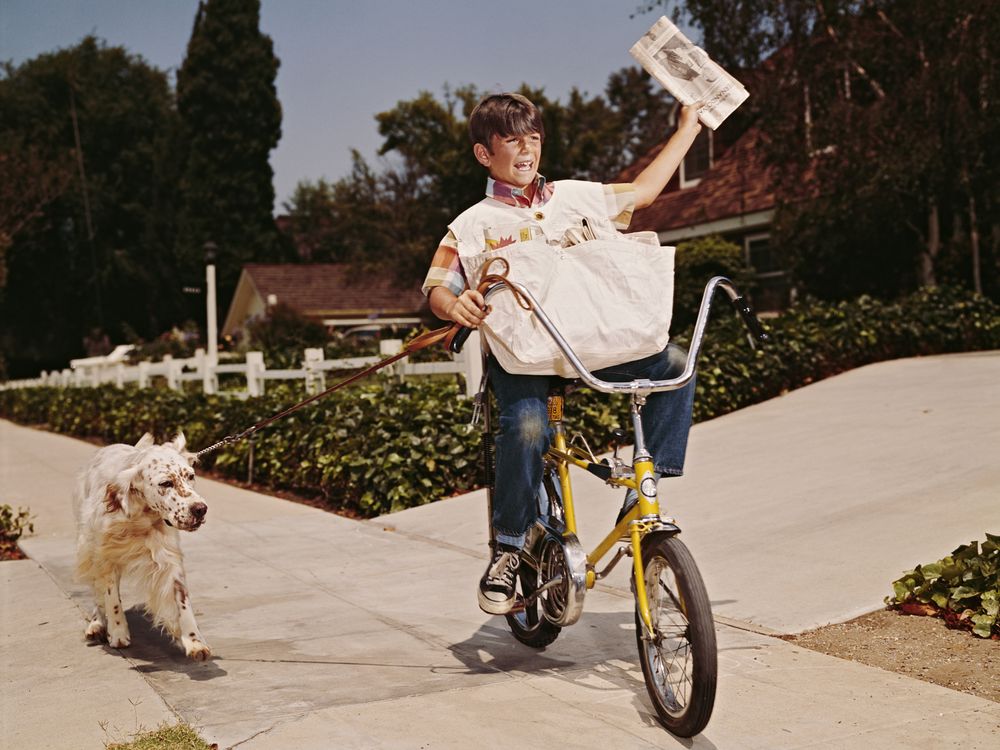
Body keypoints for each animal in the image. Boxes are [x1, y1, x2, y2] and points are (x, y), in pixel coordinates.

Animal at [76, 432, 213, 660]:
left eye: (191, 476)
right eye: (166, 483)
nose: (200, 509)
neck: (141, 516)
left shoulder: (168, 558)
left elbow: (182, 600)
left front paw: (194, 641)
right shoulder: (105, 555)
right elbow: (111, 598)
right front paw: (118, 631)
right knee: (97, 592)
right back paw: (97, 623)